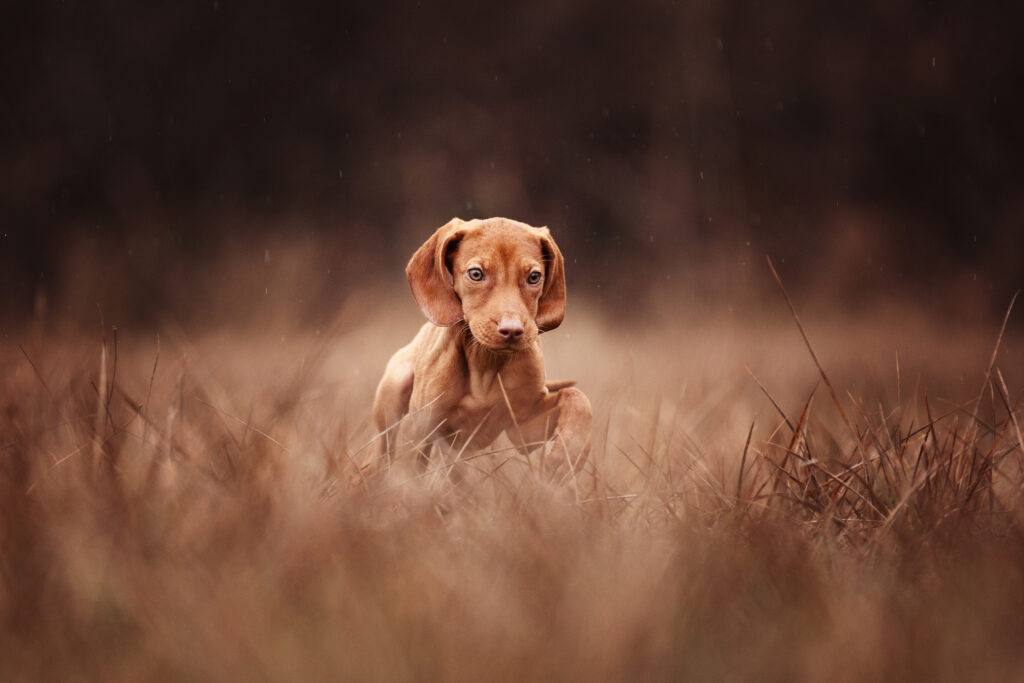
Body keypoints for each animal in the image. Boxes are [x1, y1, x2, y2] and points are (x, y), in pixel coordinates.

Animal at [364, 216, 598, 483]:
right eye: (476, 274)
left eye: (534, 277)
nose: (512, 331)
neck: (485, 360)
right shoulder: (421, 429)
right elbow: (410, 475)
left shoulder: (525, 428)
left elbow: (577, 398)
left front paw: (568, 454)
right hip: (395, 394)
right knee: (378, 456)